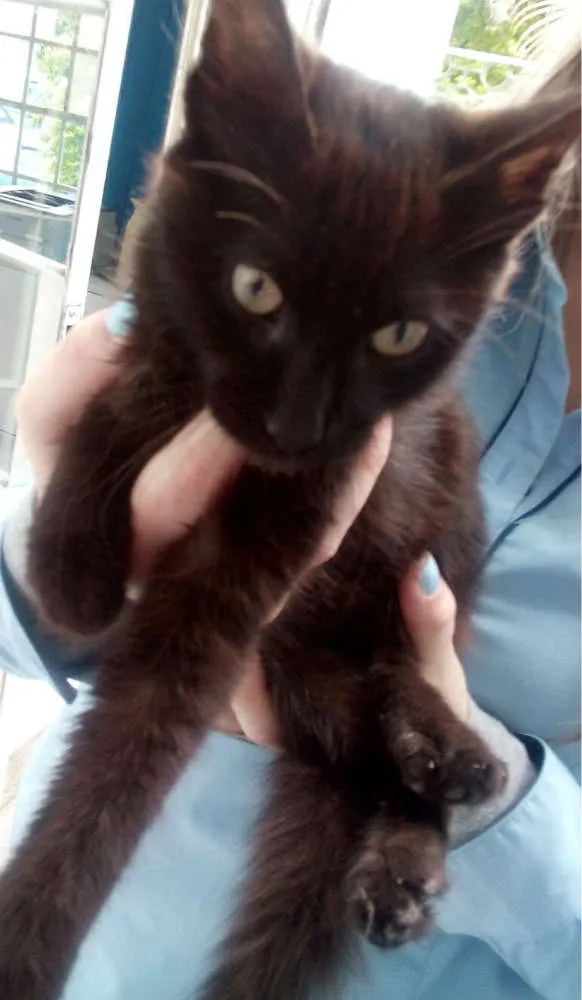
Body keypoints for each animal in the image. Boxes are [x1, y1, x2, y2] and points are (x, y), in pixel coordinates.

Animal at [0, 1, 578, 998]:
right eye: (255, 287)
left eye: (399, 335)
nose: (297, 425)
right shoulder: (153, 347)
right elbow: (115, 406)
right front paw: (69, 567)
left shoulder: (312, 508)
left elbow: (125, 752)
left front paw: (29, 934)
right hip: (296, 663)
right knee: (356, 743)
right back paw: (415, 797)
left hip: (424, 566)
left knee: (397, 684)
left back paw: (442, 781)